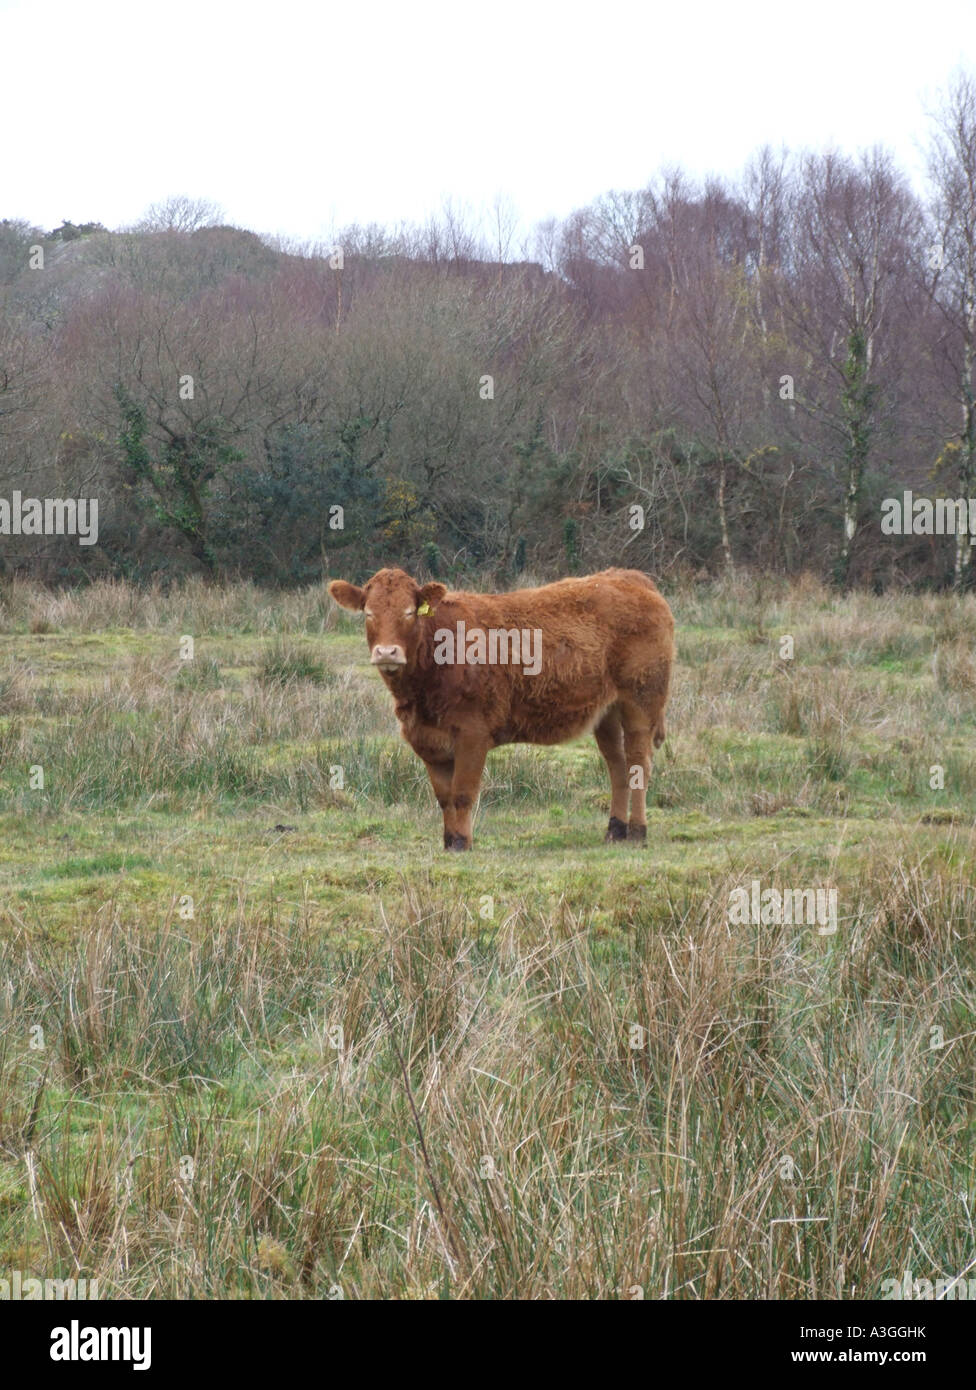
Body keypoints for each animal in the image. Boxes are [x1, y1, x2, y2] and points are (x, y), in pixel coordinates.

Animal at [328, 567, 674, 850]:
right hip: (607, 712)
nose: (387, 652)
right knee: (617, 766)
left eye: (410, 612)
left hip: (641, 700)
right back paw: (616, 830)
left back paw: (638, 832)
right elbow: (444, 797)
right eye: (368, 613)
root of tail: (629, 577)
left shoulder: (473, 733)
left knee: (638, 763)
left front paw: (461, 843)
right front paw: (448, 841)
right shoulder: (429, 741)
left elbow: (462, 793)